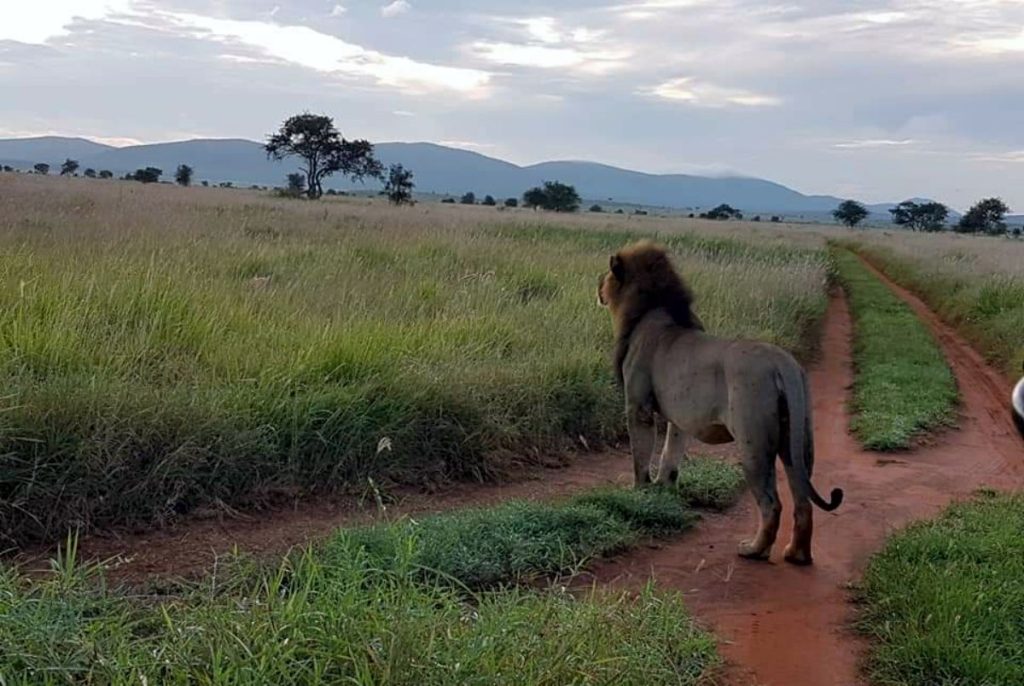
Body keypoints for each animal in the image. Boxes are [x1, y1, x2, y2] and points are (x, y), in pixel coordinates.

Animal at [598, 240, 843, 565]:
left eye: (607, 274)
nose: (598, 284)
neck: (648, 310)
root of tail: (783, 363)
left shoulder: (638, 407)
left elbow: (641, 457)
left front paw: (639, 493)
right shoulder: (680, 417)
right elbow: (670, 455)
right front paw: (664, 491)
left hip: (753, 442)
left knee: (772, 503)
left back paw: (754, 550)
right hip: (798, 440)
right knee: (802, 500)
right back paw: (797, 554)